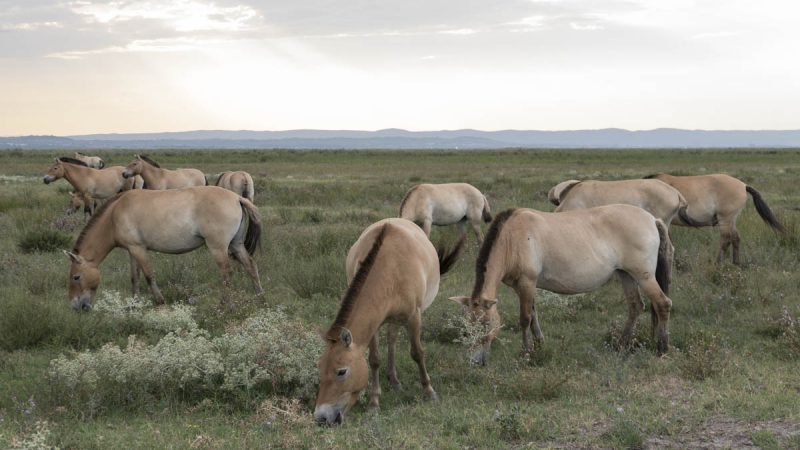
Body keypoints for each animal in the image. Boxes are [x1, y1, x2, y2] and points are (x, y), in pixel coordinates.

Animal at [63, 185, 262, 310]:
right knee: (251, 266)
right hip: (236, 245)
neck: (115, 214)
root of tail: (237, 197)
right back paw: (260, 296)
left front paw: (159, 301)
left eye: (76, 277)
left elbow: (149, 276)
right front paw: (134, 304)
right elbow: (134, 277)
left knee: (227, 274)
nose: (75, 306)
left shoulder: (139, 249)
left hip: (218, 248)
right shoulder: (132, 251)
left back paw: (225, 305)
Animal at [312, 219, 462, 426]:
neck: (391, 267)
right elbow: (374, 360)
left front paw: (429, 392)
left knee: (393, 338)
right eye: (320, 368)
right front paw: (374, 403)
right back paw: (393, 380)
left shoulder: (414, 316)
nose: (320, 417)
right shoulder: (374, 323)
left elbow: (417, 353)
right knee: (391, 338)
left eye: (341, 372)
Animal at [450, 205, 676, 366]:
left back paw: (662, 348)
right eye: (466, 326)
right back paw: (621, 346)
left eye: (485, 324)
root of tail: (652, 219)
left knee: (663, 304)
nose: (475, 361)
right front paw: (540, 346)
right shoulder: (523, 287)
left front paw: (527, 353)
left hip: (643, 276)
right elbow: (533, 316)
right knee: (636, 306)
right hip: (626, 275)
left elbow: (525, 319)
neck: (512, 239)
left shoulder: (527, 283)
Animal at [640, 171, 784, 264]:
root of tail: (743, 185)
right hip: (731, 220)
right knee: (735, 238)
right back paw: (736, 263)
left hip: (725, 219)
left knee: (726, 239)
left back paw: (718, 263)